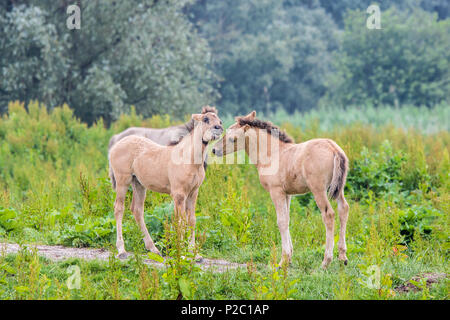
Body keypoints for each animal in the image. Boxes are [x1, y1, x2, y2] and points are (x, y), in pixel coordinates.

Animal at [213, 111, 350, 268]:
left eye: (233, 139)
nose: (214, 150)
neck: (272, 153)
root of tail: (334, 149)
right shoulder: (287, 194)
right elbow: (288, 218)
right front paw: (289, 258)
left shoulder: (276, 191)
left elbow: (281, 221)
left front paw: (283, 260)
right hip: (339, 189)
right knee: (343, 209)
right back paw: (343, 257)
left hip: (318, 190)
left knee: (328, 215)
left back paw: (326, 261)